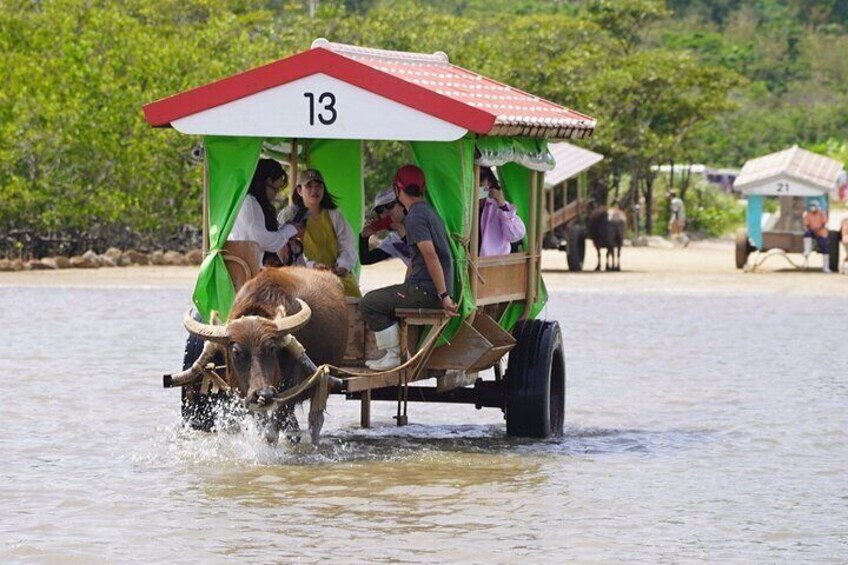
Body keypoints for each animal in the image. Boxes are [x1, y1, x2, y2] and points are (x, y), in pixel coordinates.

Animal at [172, 266, 348, 442]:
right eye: (236, 352)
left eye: (271, 348)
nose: (264, 394)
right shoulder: (245, 395)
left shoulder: (288, 392)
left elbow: (273, 430)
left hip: (324, 380)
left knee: (315, 420)